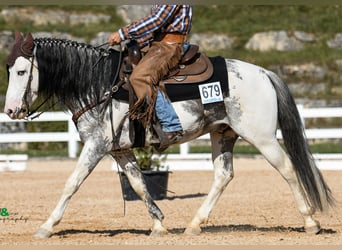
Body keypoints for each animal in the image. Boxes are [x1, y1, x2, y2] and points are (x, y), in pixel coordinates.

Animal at [3, 32, 334, 237]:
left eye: (21, 71)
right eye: (8, 69)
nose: (10, 111)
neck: (98, 85)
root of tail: (264, 73)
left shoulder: (96, 146)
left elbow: (71, 184)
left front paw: (46, 226)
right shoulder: (119, 150)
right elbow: (138, 184)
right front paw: (159, 225)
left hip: (261, 137)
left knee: (288, 169)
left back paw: (310, 221)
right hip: (223, 134)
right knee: (223, 175)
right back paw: (195, 224)